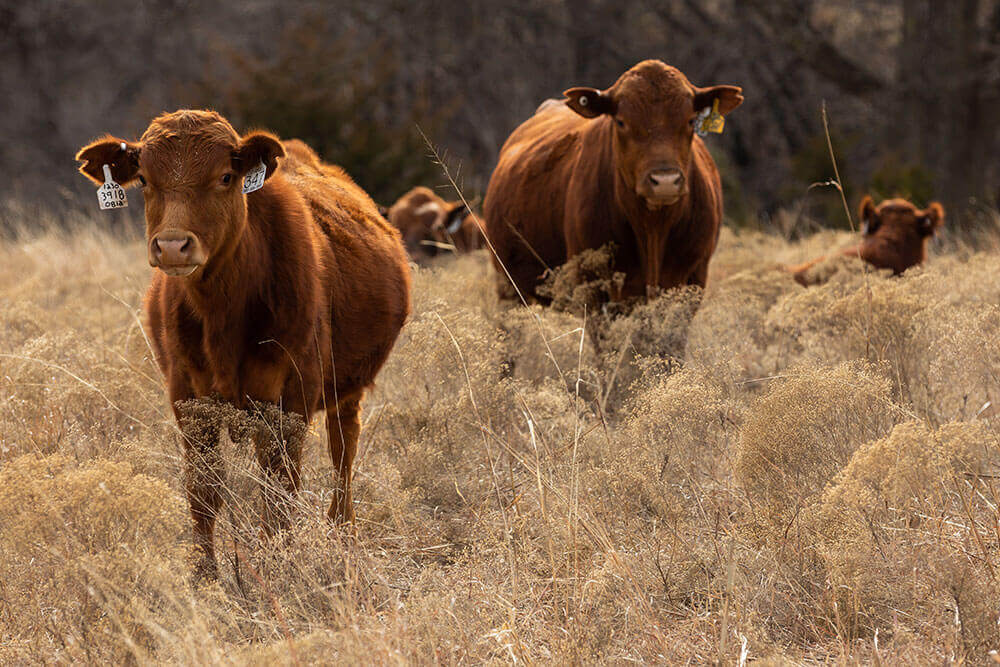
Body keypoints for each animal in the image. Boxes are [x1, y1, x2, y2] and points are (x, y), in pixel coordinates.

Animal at [484, 60, 744, 300]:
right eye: (621, 121)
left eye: (690, 120)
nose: (665, 180)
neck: (653, 229)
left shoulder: (694, 279)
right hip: (509, 287)